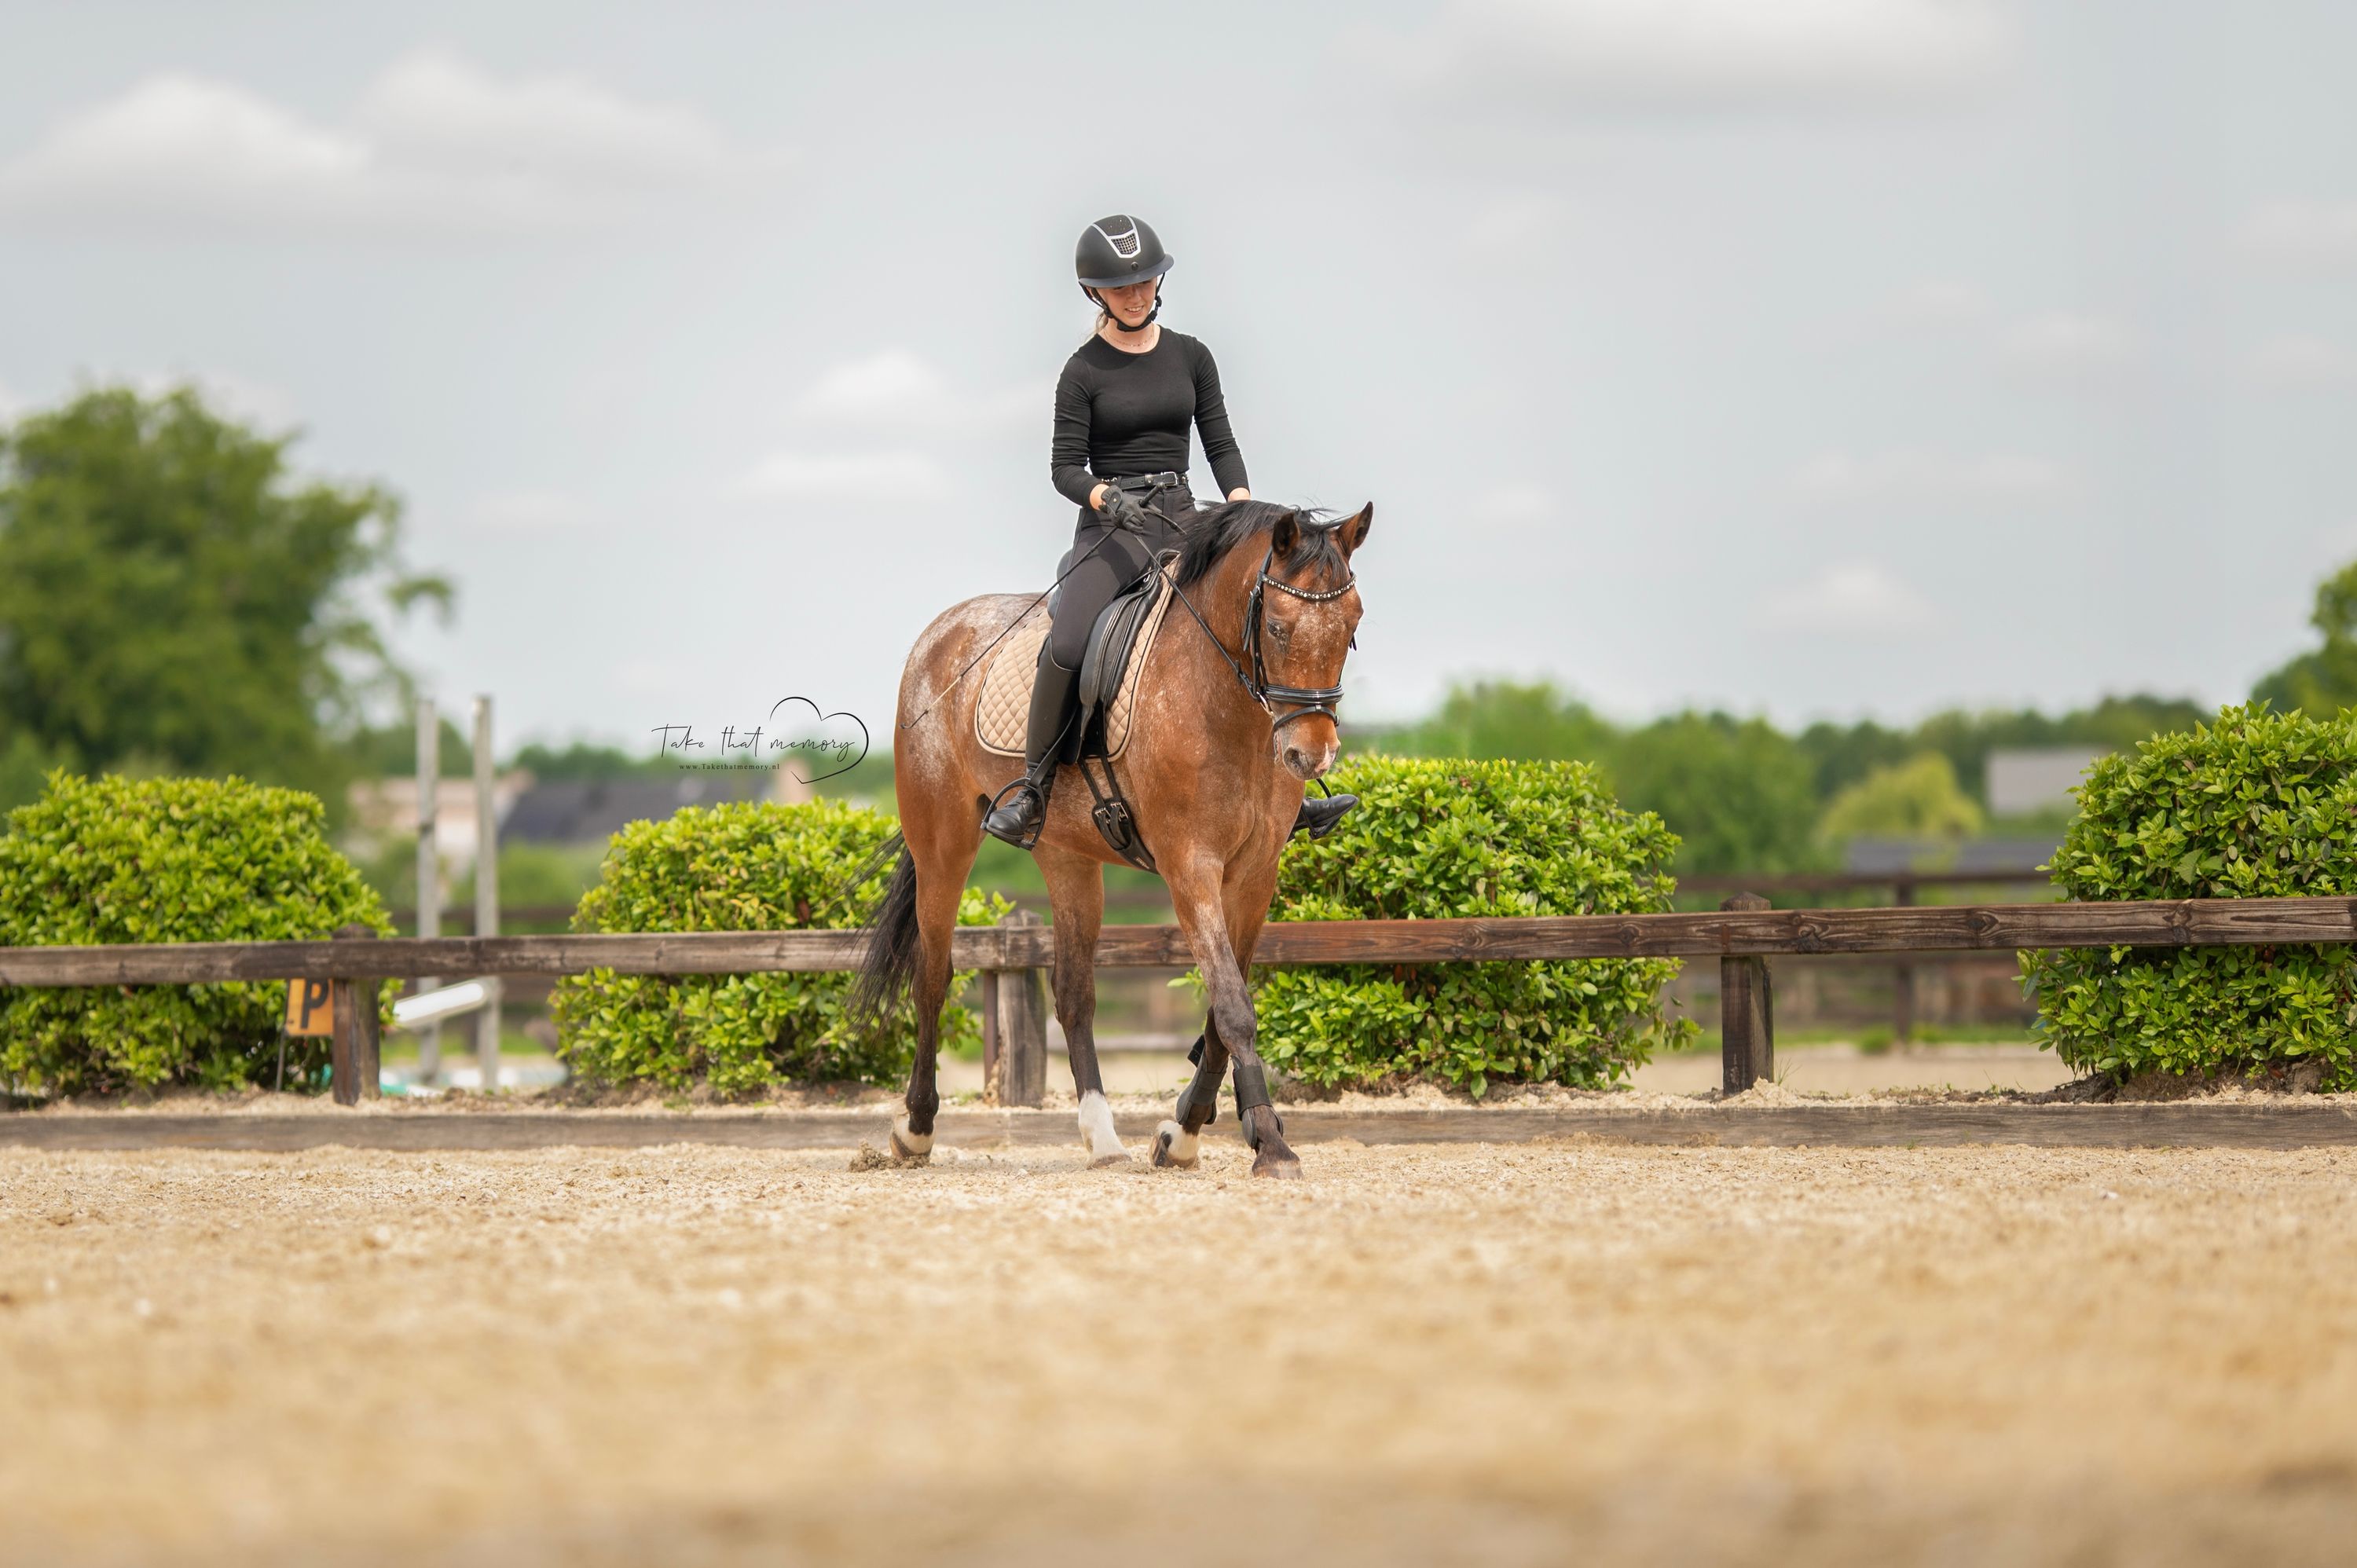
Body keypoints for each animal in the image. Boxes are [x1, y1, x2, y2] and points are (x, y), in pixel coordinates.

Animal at [851, 498, 1370, 1179]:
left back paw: (1102, 1139)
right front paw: (1269, 1144)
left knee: (1073, 995)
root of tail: (943, 630)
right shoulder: (1190, 868)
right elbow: (1233, 1006)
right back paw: (914, 1130)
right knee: (932, 979)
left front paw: (1182, 1135)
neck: (1222, 701)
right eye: (1278, 628)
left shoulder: (1255, 877)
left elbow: (1221, 1007)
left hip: (1067, 857)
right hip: (943, 846)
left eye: (1353, 623)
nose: (1311, 755)